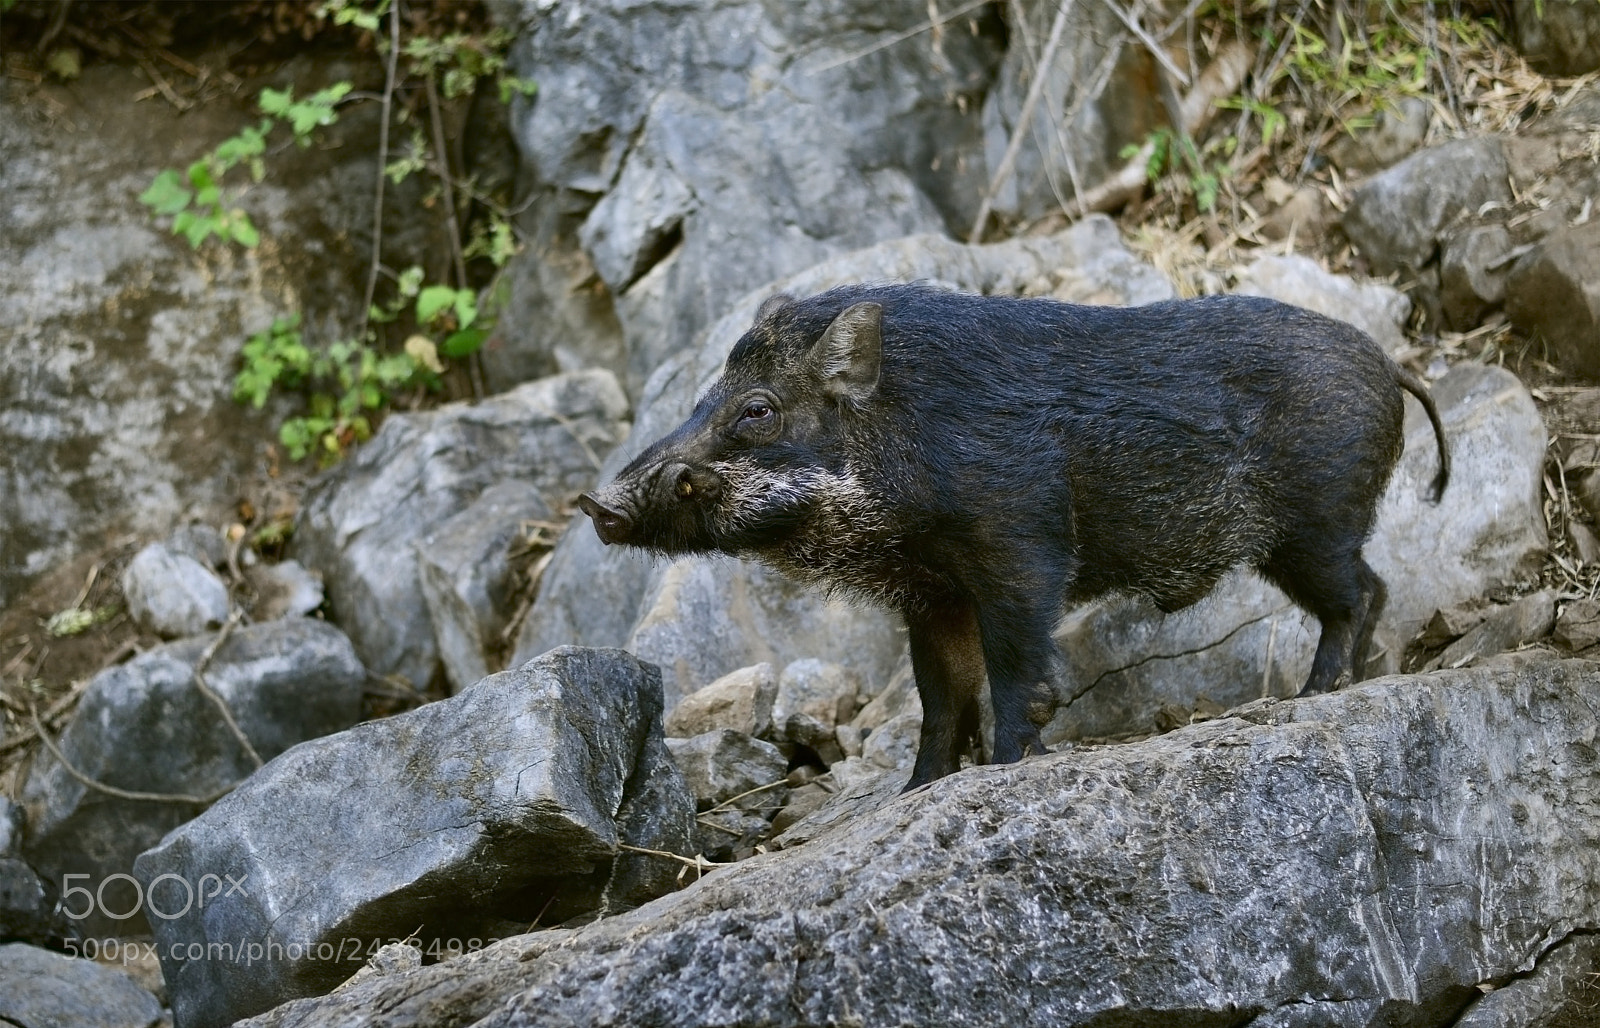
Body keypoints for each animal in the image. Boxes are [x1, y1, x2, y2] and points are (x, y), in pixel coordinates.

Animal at [579, 284, 1449, 789]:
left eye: (756, 410)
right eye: (704, 397)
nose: (598, 503)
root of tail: (1390, 365)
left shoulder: (1019, 548)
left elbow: (1009, 666)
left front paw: (1006, 764)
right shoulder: (930, 595)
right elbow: (940, 693)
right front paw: (918, 790)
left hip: (1313, 525)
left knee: (1359, 592)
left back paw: (1316, 692)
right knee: (1372, 589)